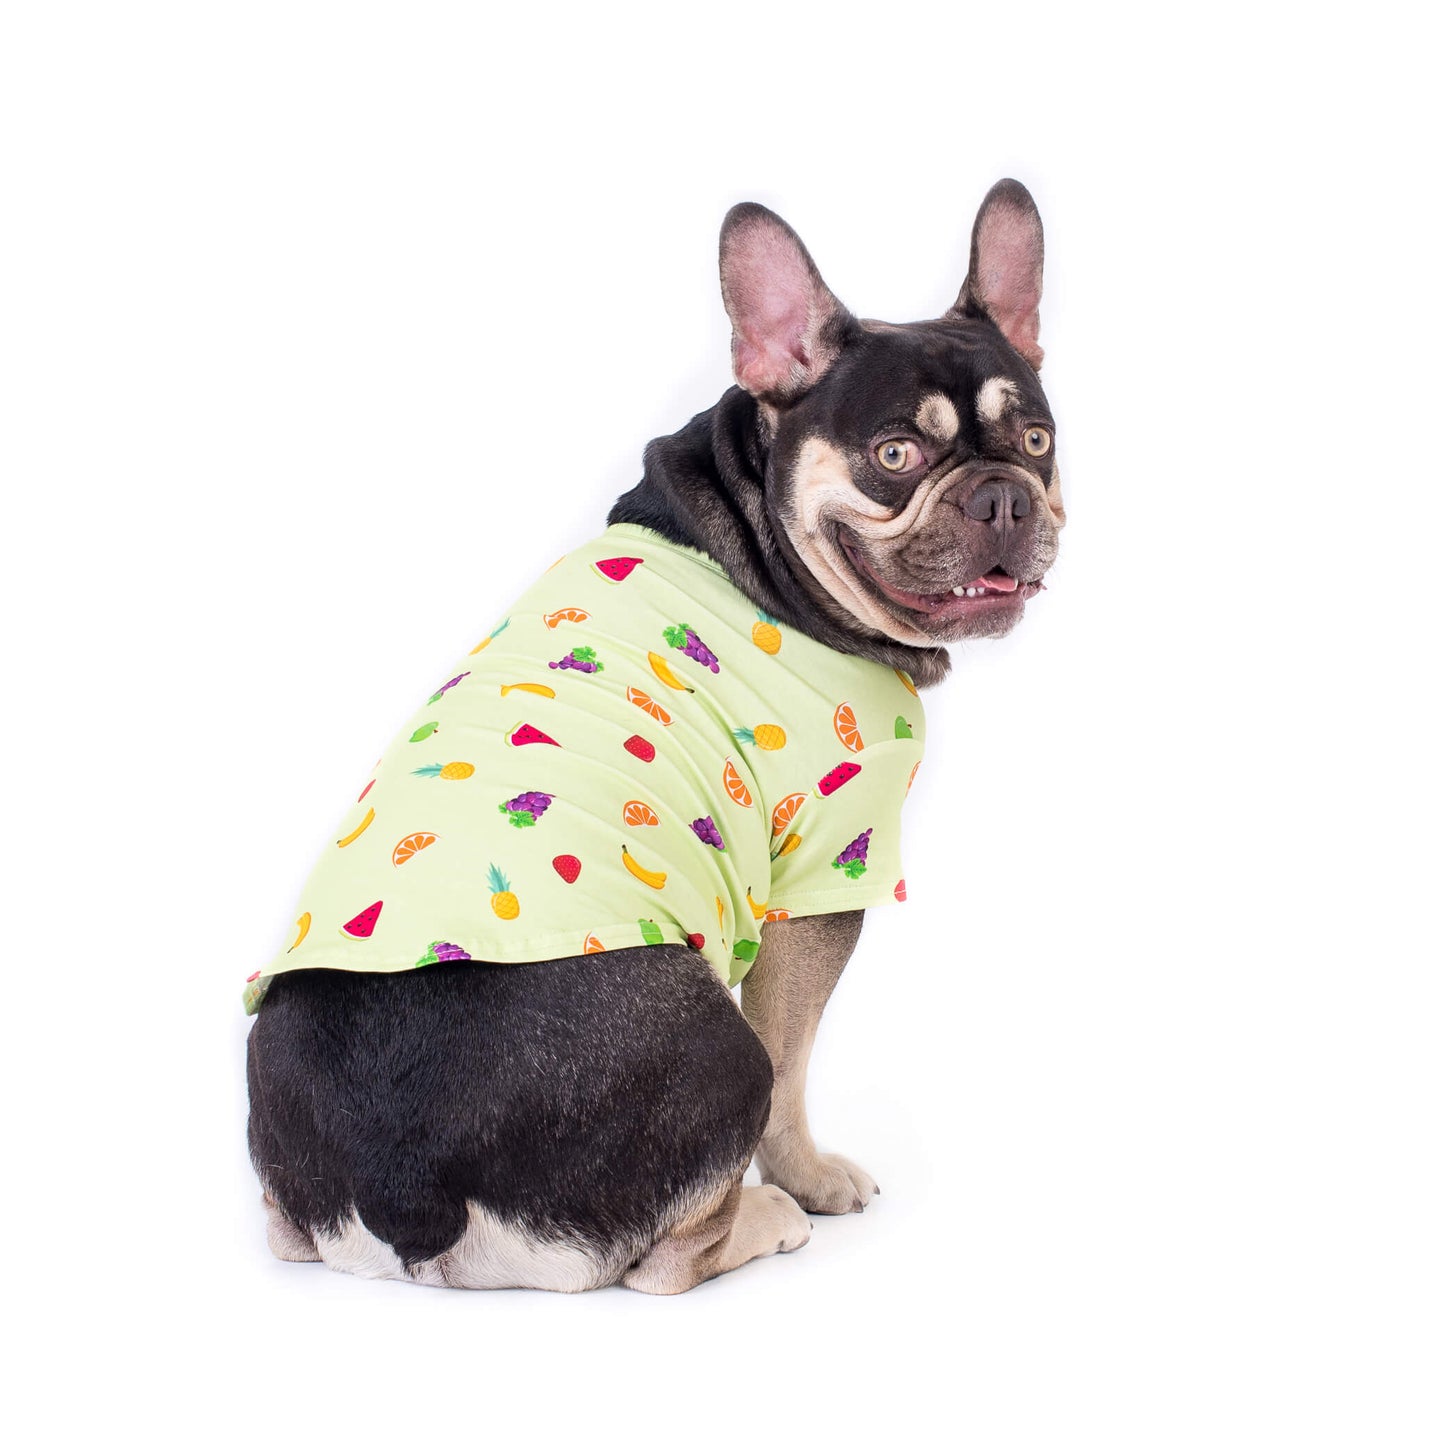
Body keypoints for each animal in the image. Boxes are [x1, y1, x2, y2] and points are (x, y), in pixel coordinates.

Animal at [245, 174, 1063, 1294]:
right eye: (894, 455)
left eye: (1036, 443)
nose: (1000, 498)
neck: (758, 538)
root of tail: (408, 1187)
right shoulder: (822, 879)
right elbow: (795, 1058)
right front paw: (812, 1177)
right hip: (712, 1035)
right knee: (669, 1253)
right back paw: (765, 1215)